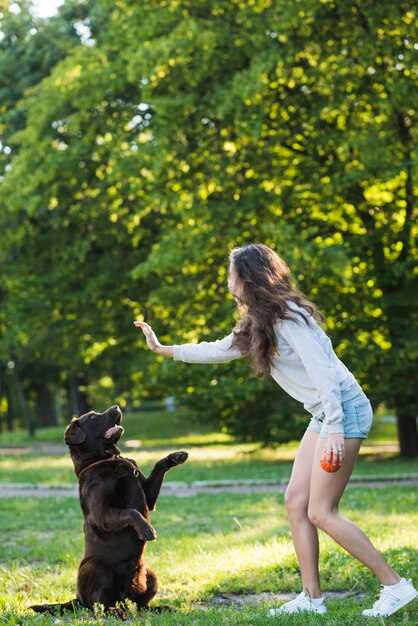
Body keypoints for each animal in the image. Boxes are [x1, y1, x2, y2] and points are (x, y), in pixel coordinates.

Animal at [31, 404, 189, 616]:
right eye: (92, 417)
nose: (116, 406)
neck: (107, 459)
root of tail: (77, 598)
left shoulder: (147, 496)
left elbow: (156, 469)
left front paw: (174, 457)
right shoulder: (102, 515)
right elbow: (131, 512)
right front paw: (146, 529)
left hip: (150, 574)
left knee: (141, 606)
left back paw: (162, 607)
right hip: (97, 567)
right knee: (99, 605)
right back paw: (117, 612)